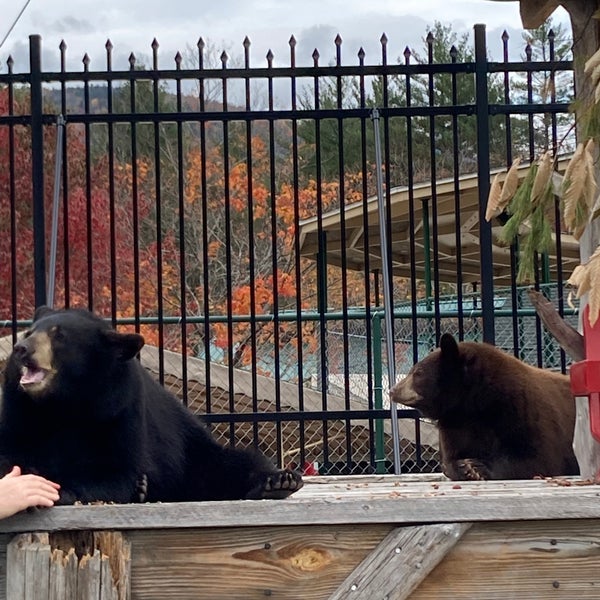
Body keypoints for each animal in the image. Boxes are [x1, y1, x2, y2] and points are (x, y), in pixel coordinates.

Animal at [0, 308, 302, 504]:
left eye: (59, 336)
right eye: (29, 332)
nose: (21, 348)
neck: (64, 402)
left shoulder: (116, 409)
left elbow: (116, 469)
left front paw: (61, 489)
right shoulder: (19, 409)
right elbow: (12, 453)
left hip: (193, 451)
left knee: (231, 464)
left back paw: (279, 482)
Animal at [386, 336, 580, 480]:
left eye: (417, 373)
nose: (393, 390)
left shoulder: (523, 410)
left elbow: (539, 457)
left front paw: (477, 466)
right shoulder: (455, 424)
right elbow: (451, 458)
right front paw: (463, 466)